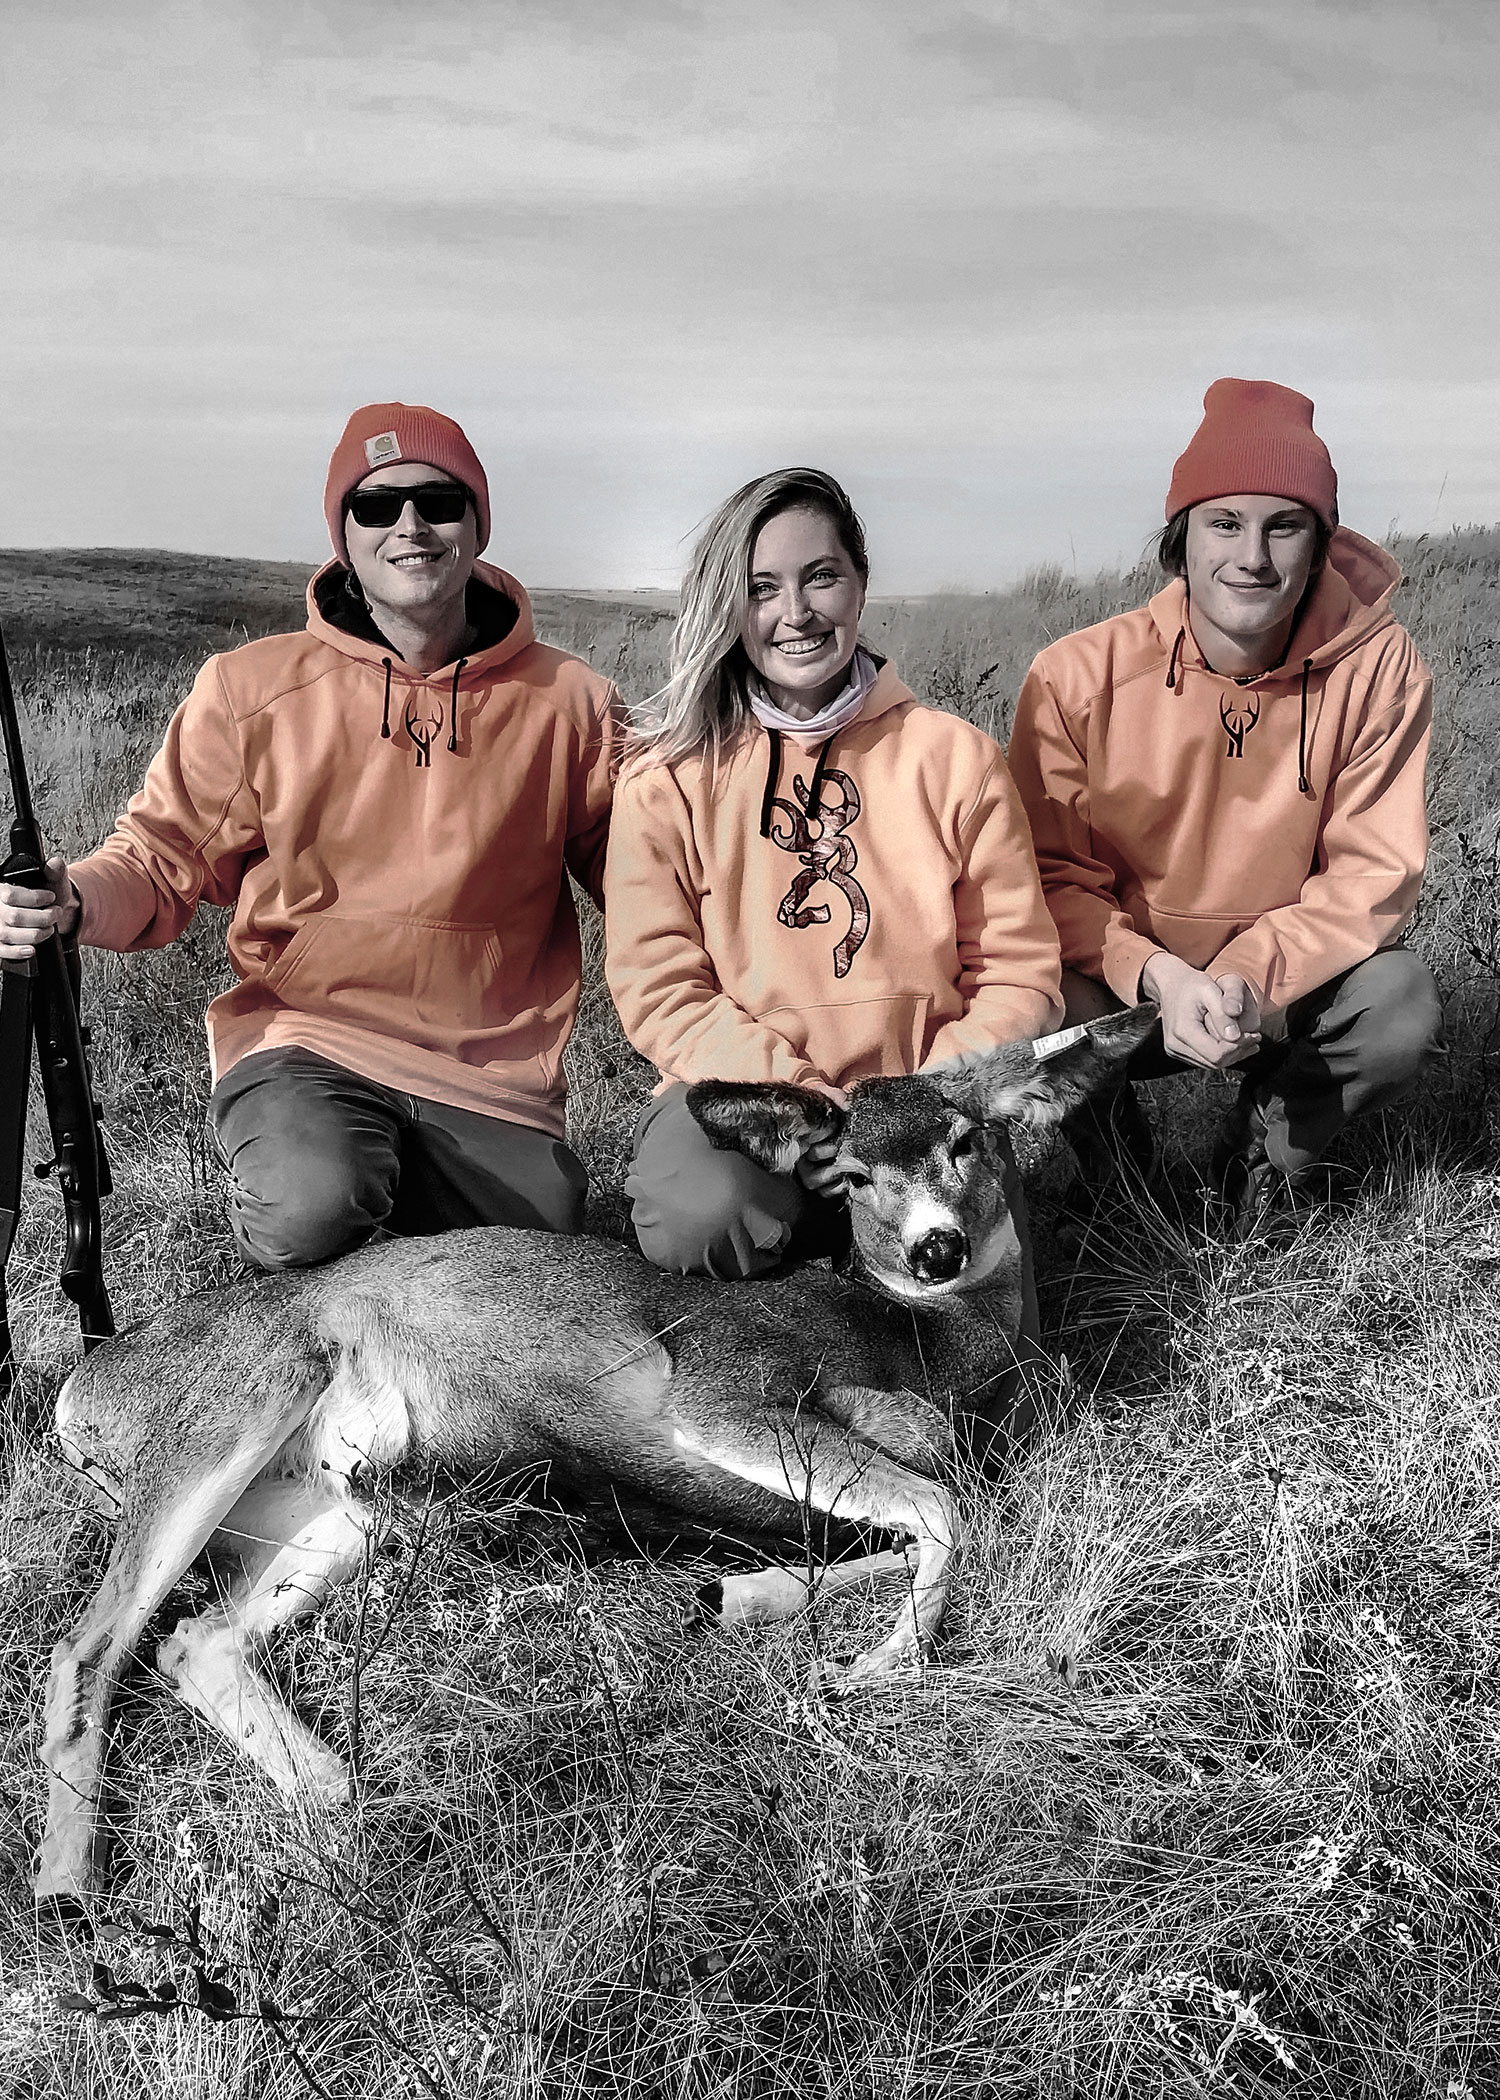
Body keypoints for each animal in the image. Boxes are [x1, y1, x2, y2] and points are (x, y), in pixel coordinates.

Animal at [35, 1003, 1151, 1906]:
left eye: (966, 1139)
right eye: (854, 1176)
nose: (936, 1248)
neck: (919, 1344)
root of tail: (78, 1395)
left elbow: (922, 1514)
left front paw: (747, 1603)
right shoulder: (722, 1389)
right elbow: (942, 1506)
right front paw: (875, 1666)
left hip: (337, 1510)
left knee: (198, 1640)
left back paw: (340, 1795)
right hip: (235, 1405)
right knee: (92, 1644)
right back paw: (70, 1885)